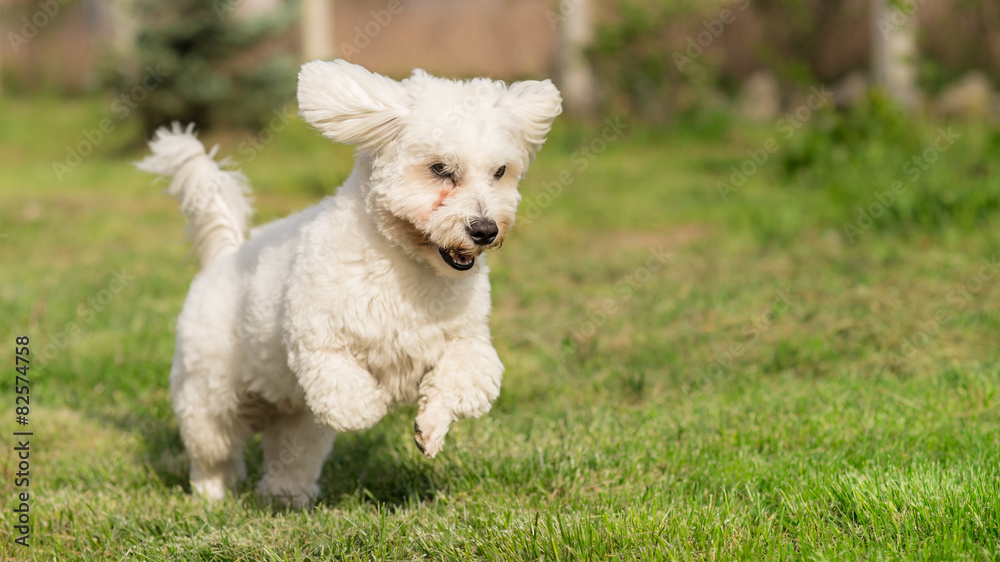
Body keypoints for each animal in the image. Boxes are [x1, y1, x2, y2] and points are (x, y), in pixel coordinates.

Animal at [139, 59, 564, 506]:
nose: (484, 229)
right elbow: (352, 401)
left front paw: (429, 429)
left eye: (500, 172)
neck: (406, 265)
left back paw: (287, 497)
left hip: (294, 419)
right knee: (214, 449)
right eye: (440, 168)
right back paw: (212, 494)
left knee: (291, 456)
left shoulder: (468, 343)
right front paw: (379, 405)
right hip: (209, 394)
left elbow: (464, 381)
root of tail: (228, 253)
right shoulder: (320, 344)